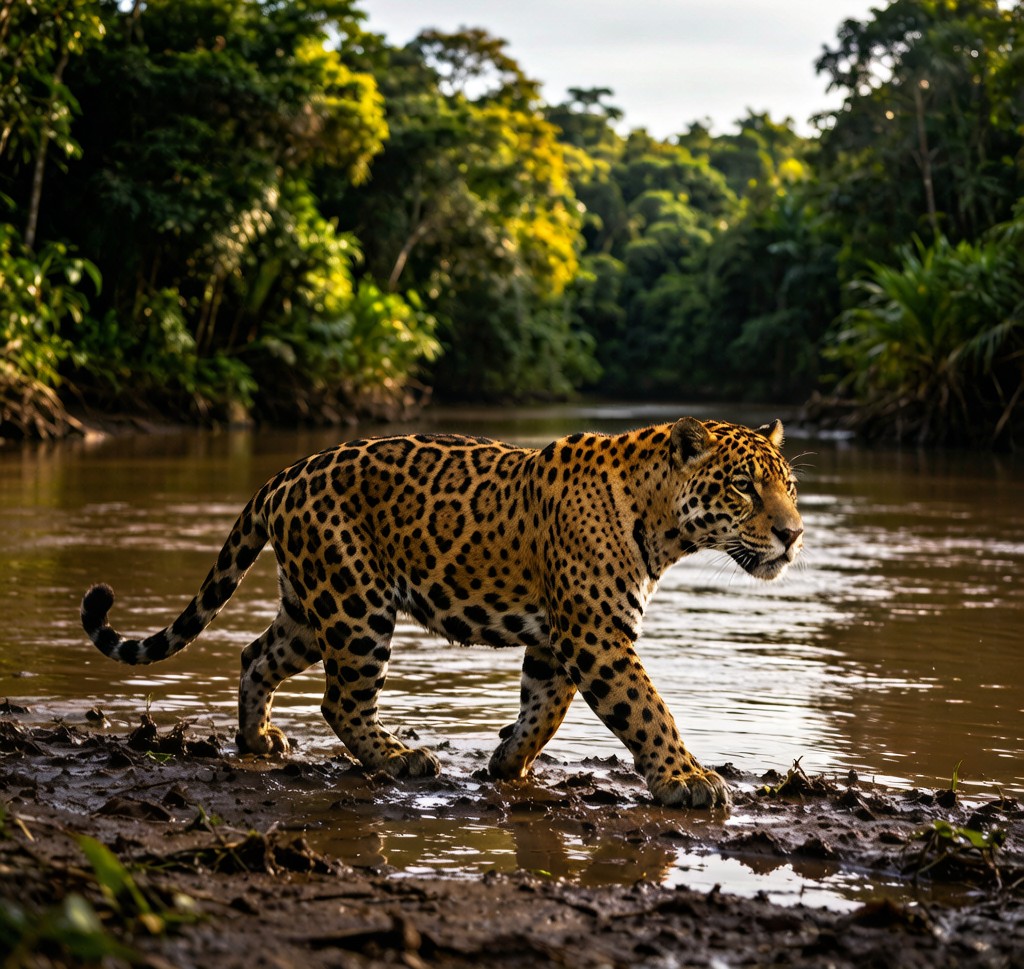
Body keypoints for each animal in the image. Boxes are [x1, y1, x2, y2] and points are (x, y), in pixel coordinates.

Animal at [80, 416, 803, 809]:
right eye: (744, 486)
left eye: (789, 486)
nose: (794, 533)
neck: (661, 522)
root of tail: (284, 474)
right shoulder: (597, 635)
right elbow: (649, 710)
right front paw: (688, 779)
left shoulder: (560, 637)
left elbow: (546, 706)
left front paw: (508, 760)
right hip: (356, 603)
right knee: (340, 700)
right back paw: (400, 758)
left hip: (312, 607)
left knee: (256, 654)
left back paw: (258, 739)